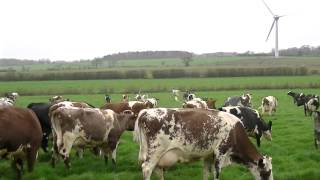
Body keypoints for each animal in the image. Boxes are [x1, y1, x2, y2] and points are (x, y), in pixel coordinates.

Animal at [134, 108, 272, 180]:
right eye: (267, 172)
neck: (235, 131)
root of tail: (146, 112)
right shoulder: (220, 153)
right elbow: (216, 174)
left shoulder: (208, 156)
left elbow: (206, 173)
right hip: (155, 152)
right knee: (147, 168)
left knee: (157, 170)